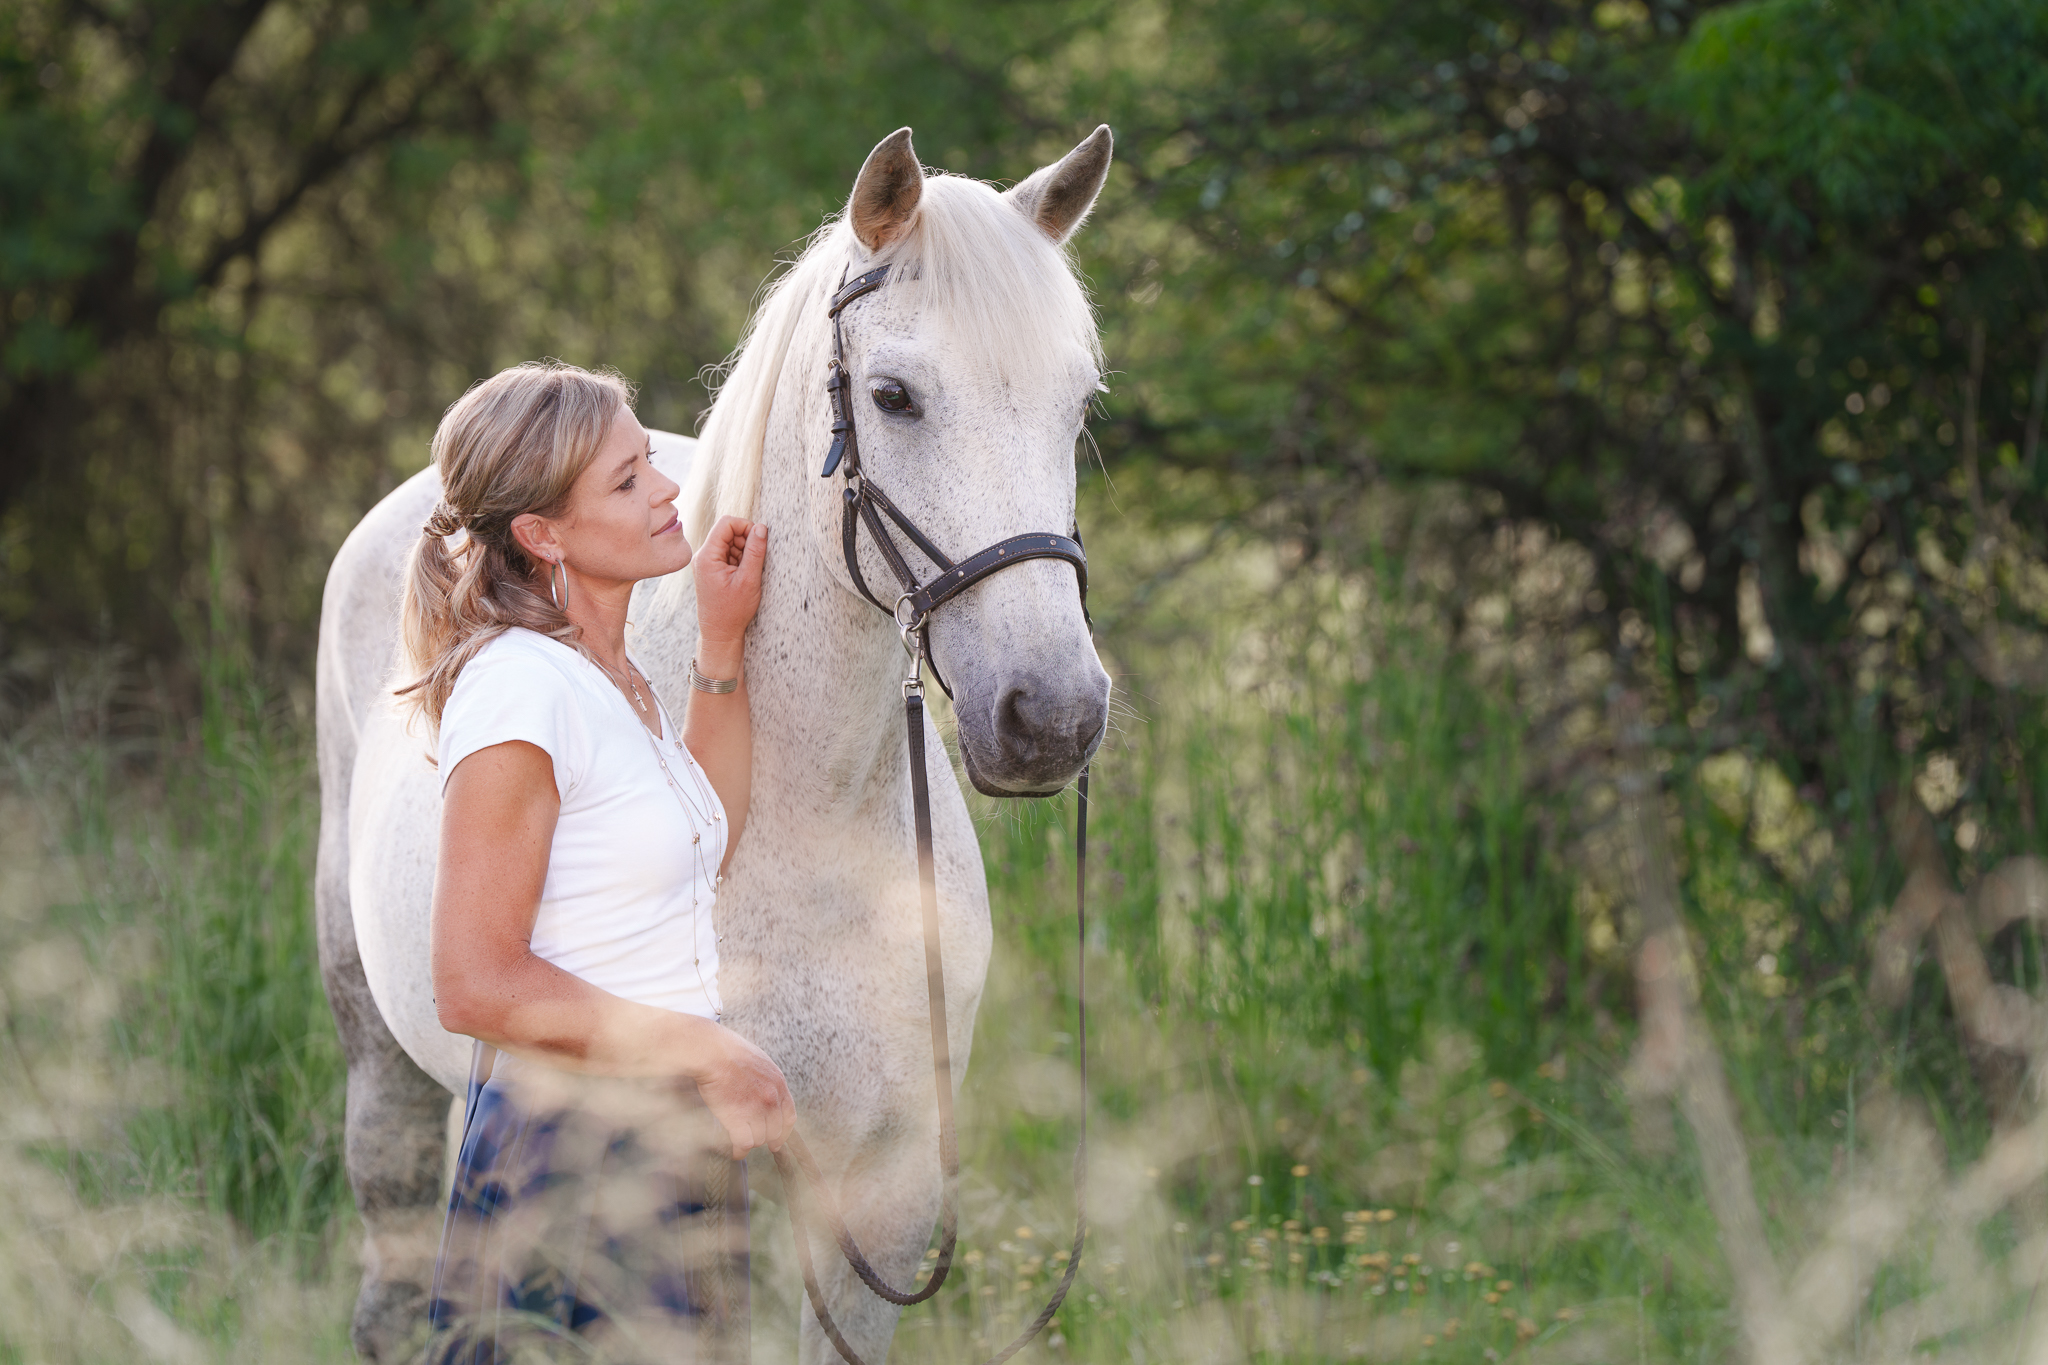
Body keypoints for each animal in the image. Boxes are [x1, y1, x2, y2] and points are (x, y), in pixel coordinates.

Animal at [315, 123, 1115, 1362]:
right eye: (893, 397)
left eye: (1075, 408)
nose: (1052, 718)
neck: (812, 824)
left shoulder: (882, 1201)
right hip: (377, 1055)